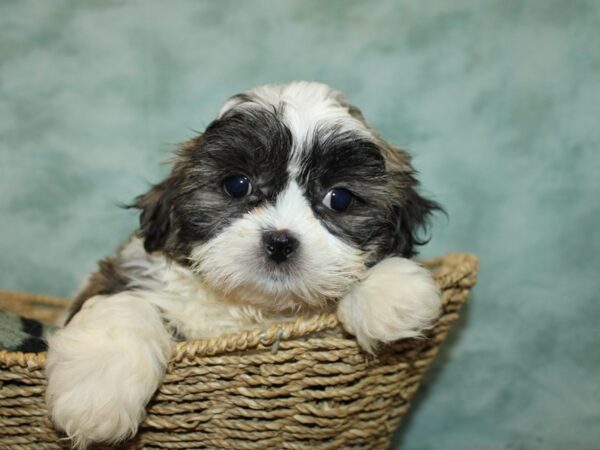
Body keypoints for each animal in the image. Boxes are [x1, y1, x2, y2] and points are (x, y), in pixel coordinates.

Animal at [45, 82, 440, 448]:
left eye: (339, 198)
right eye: (237, 184)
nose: (280, 242)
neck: (249, 310)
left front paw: (392, 294)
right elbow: (123, 303)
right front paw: (97, 395)